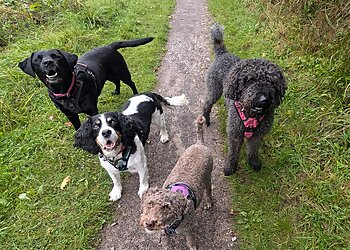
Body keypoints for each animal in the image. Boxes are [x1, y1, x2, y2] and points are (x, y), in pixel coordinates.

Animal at [18, 38, 153, 131]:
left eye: (56, 56)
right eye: (37, 59)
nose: (48, 62)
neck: (66, 91)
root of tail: (110, 46)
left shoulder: (92, 110)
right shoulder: (70, 115)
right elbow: (77, 126)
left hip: (122, 73)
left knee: (131, 83)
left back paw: (135, 94)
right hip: (109, 75)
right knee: (116, 82)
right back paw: (117, 91)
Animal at [139, 115, 213, 250]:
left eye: (166, 207)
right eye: (150, 203)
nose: (149, 223)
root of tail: (199, 143)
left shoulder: (189, 228)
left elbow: (191, 241)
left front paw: (192, 246)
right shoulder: (163, 233)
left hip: (208, 177)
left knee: (208, 190)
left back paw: (209, 202)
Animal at [202, 23, 288, 176]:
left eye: (272, 82)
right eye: (249, 80)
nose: (263, 99)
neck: (252, 115)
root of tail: (222, 52)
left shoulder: (258, 135)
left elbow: (253, 150)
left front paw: (254, 163)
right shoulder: (235, 134)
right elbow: (233, 153)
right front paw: (230, 167)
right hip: (214, 90)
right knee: (206, 104)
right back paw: (206, 118)